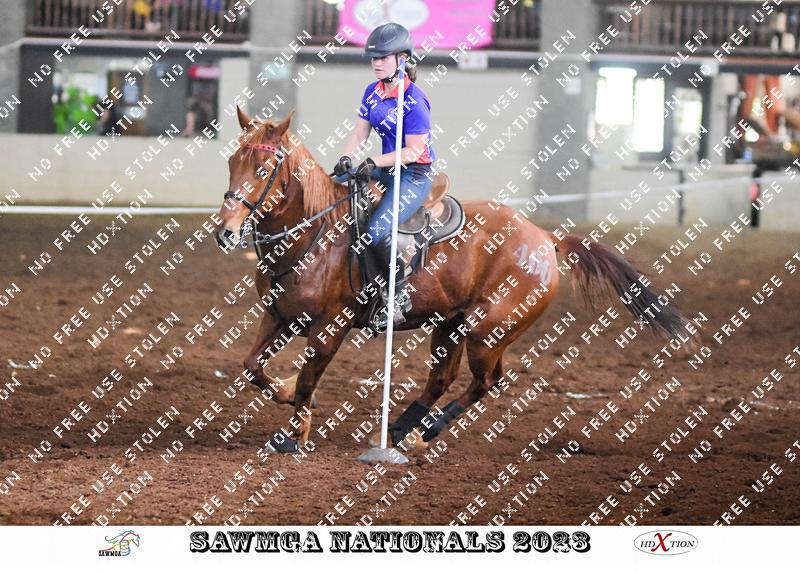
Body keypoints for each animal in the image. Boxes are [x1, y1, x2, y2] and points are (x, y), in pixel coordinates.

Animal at [214, 107, 690, 454]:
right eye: (232, 162)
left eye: (264, 169)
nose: (225, 231)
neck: (315, 234)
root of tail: (545, 238)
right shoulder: (279, 316)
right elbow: (252, 366)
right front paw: (284, 394)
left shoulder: (330, 327)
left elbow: (308, 379)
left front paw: (295, 434)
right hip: (451, 323)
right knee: (443, 378)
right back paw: (398, 430)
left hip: (487, 329)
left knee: (486, 382)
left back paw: (425, 430)